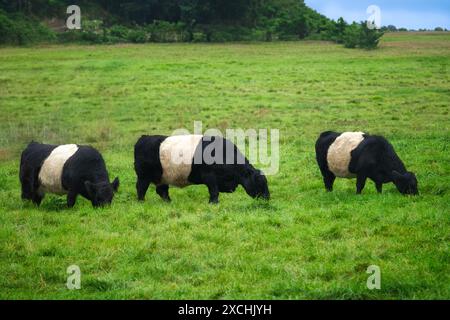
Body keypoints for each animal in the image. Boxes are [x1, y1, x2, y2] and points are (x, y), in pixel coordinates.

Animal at [133, 134, 268, 204]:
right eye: (259, 182)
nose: (267, 198)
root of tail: (143, 138)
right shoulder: (210, 177)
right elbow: (214, 192)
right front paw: (213, 204)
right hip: (143, 176)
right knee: (141, 188)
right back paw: (141, 202)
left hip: (163, 177)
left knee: (162, 191)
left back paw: (169, 202)